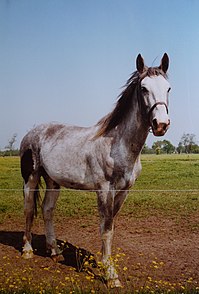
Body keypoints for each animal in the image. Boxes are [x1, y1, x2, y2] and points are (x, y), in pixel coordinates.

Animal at [19, 52, 170, 288]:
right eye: (144, 88)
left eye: (169, 88)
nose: (161, 124)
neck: (117, 143)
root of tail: (32, 132)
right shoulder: (105, 190)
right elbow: (106, 229)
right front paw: (111, 274)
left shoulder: (123, 192)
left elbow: (110, 227)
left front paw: (104, 265)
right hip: (31, 178)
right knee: (28, 210)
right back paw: (27, 251)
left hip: (53, 182)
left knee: (47, 210)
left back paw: (55, 252)